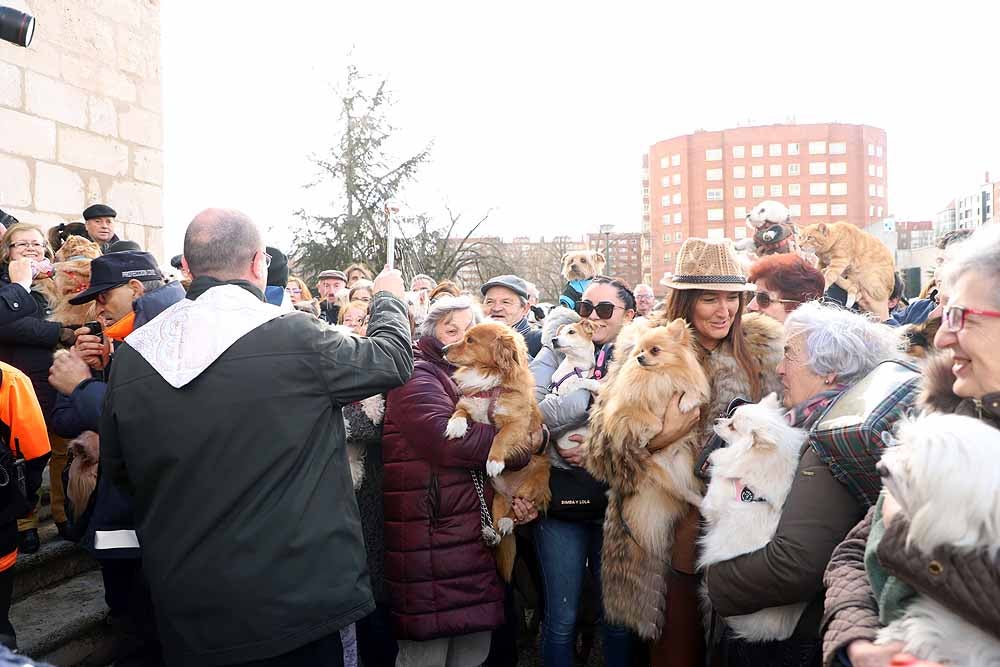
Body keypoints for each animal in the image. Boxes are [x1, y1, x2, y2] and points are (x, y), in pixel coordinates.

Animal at [448, 322, 556, 580]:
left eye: (470, 340)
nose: (444, 349)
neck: (490, 383)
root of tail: (509, 496)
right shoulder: (469, 404)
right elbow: (460, 411)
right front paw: (454, 426)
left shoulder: (517, 425)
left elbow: (500, 437)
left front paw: (494, 461)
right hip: (496, 502)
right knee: (499, 530)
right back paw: (493, 533)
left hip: (532, 486)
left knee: (519, 515)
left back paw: (509, 521)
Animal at [584, 320, 712, 640]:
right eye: (639, 351)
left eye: (655, 350)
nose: (640, 358)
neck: (659, 377)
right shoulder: (624, 410)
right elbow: (643, 417)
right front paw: (653, 428)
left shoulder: (689, 386)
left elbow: (691, 394)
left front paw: (684, 403)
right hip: (659, 473)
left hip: (682, 463)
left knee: (687, 492)